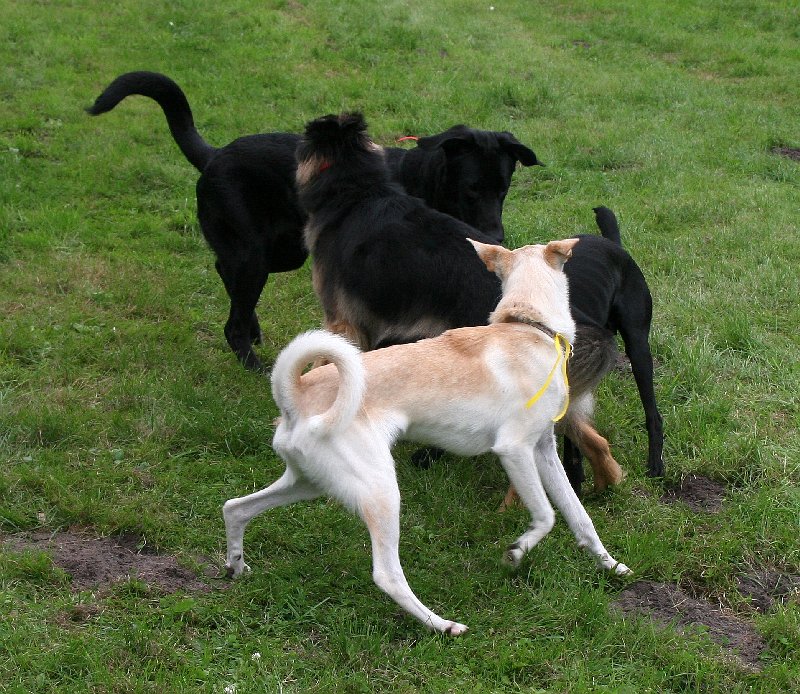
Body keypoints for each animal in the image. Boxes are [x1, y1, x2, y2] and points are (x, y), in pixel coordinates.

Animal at [86, 71, 541, 371]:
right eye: (471, 189)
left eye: (503, 188)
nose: (496, 234)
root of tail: (214, 155)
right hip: (255, 256)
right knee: (233, 305)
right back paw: (253, 361)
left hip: (281, 253)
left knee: (224, 271)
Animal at [223, 237, 632, 634]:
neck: (528, 327)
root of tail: (295, 394)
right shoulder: (514, 450)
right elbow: (546, 515)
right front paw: (517, 550)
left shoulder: (544, 450)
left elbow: (579, 516)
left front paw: (611, 565)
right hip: (381, 492)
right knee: (387, 575)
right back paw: (442, 625)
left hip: (310, 483)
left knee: (235, 508)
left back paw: (236, 566)